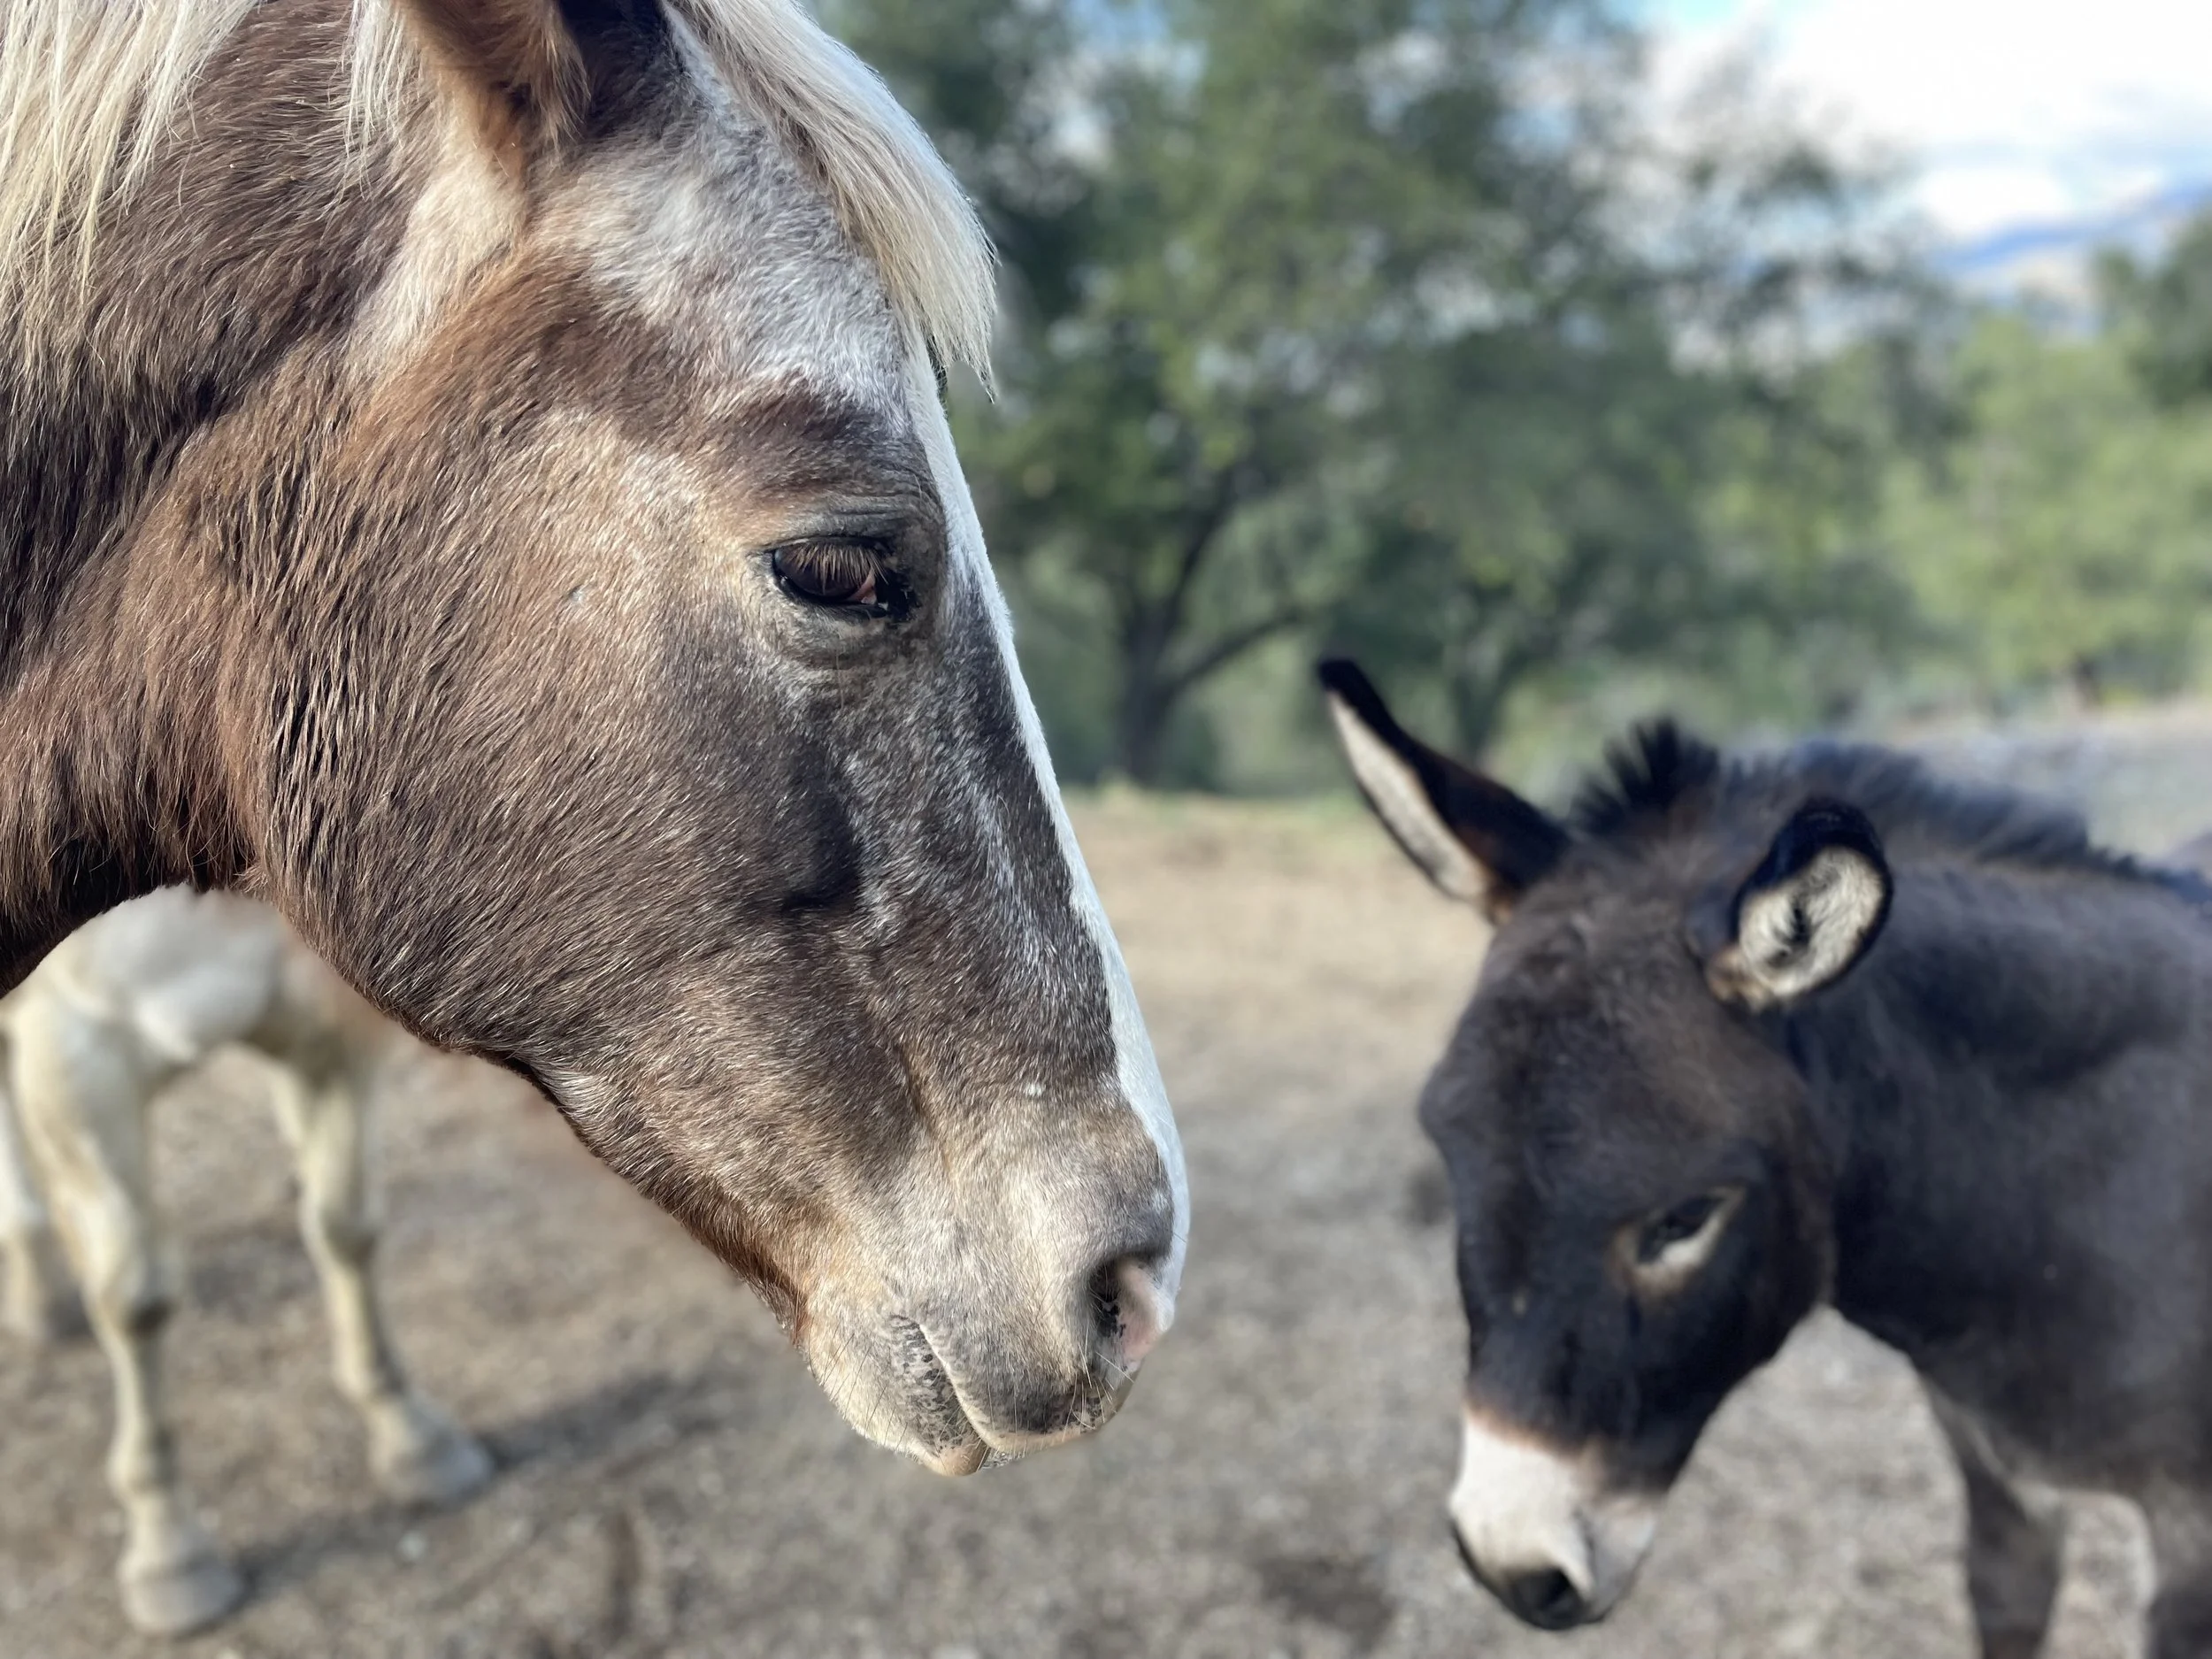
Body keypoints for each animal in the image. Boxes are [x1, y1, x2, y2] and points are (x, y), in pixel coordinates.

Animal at [0, 890, 494, 1633]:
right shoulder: (81, 1050)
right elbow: (138, 1301)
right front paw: (171, 1552)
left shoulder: (329, 1032)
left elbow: (347, 1227)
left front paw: (411, 1434)